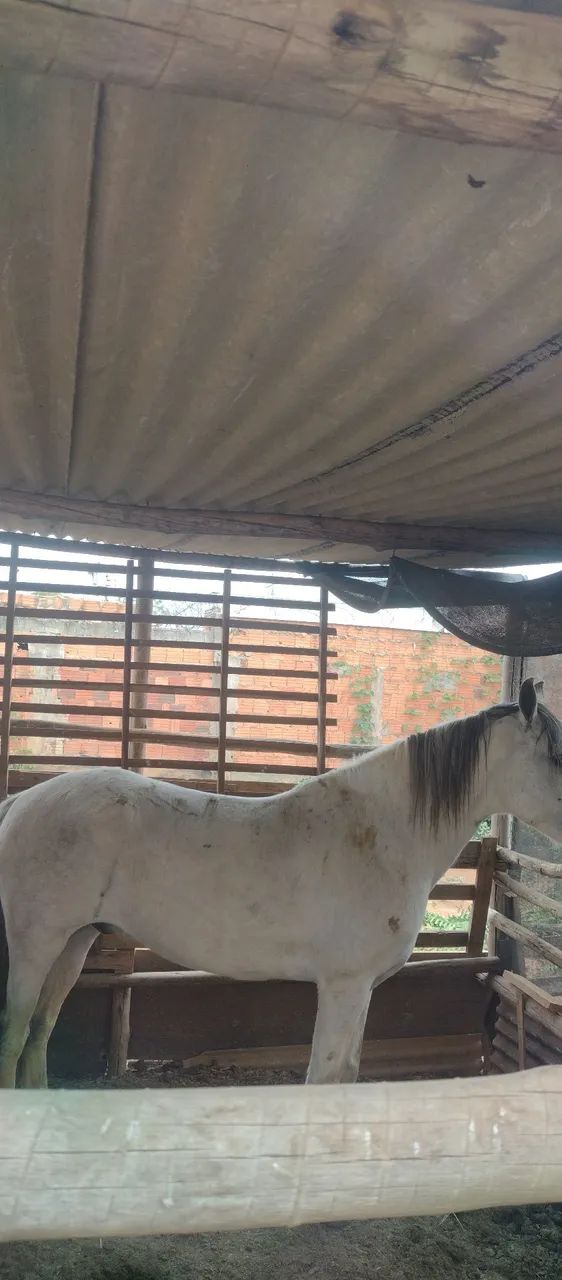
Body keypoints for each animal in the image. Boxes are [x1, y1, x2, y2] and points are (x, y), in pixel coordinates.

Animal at [0, 676, 561, 1089]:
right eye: (556, 755)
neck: (382, 832)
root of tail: (23, 801)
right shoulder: (343, 986)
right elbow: (324, 1079)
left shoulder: (360, 990)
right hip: (37, 945)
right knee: (14, 1036)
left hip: (75, 941)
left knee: (39, 1033)